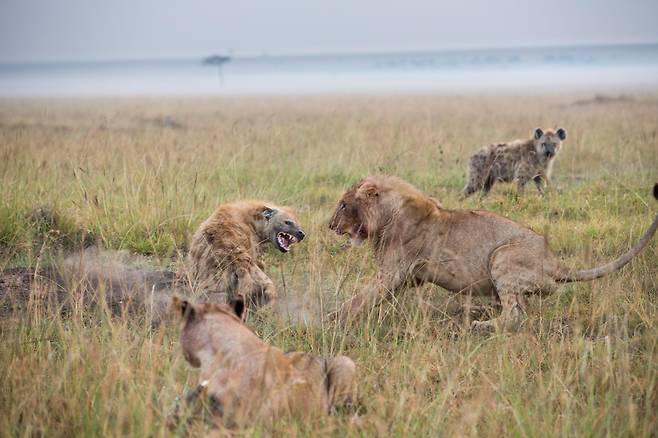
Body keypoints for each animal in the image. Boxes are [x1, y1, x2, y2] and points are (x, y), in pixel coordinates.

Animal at [328, 175, 656, 332]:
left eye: (344, 204)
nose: (329, 225)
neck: (387, 214)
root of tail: (557, 265)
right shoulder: (408, 277)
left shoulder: (392, 273)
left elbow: (359, 298)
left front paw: (332, 318)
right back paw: (476, 310)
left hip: (502, 257)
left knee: (515, 316)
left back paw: (480, 325)